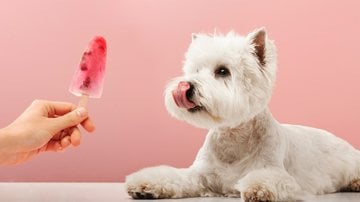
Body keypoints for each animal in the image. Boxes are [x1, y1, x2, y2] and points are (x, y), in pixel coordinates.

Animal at [124, 27, 360, 201]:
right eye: (196, 70)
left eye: (222, 71)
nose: (186, 86)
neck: (233, 139)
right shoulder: (199, 174)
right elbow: (174, 175)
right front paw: (144, 184)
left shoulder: (277, 173)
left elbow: (266, 179)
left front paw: (258, 190)